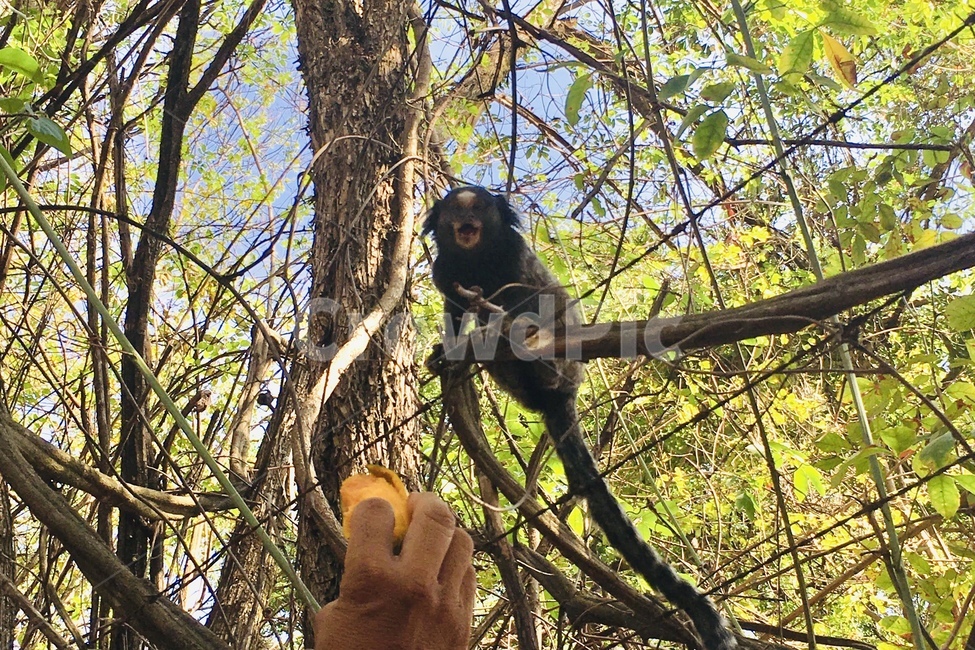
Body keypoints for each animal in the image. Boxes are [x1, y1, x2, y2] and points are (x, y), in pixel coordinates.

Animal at [424, 186, 737, 650]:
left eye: (477, 206)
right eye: (453, 210)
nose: (467, 219)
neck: (475, 257)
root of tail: (561, 395)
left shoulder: (517, 257)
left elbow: (536, 294)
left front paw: (504, 321)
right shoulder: (445, 272)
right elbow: (455, 310)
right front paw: (447, 350)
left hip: (567, 360)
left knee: (546, 313)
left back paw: (527, 349)